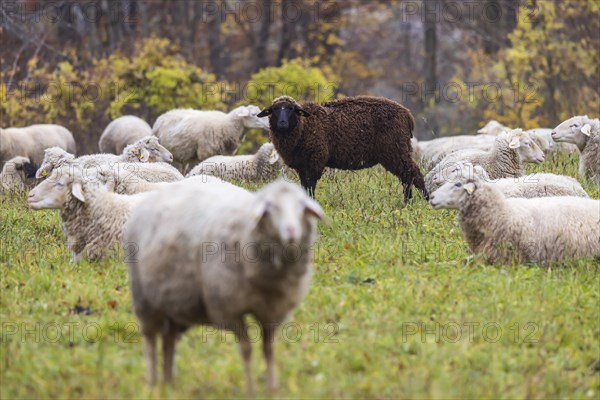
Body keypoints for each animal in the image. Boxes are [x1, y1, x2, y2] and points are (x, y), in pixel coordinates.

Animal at [122, 180, 326, 394]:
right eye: (271, 207)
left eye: (301, 206)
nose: (291, 232)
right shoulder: (228, 309)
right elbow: (246, 349)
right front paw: (251, 390)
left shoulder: (273, 312)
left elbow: (268, 350)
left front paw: (272, 389)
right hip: (144, 299)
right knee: (150, 342)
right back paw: (152, 383)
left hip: (174, 303)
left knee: (168, 340)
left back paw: (170, 384)